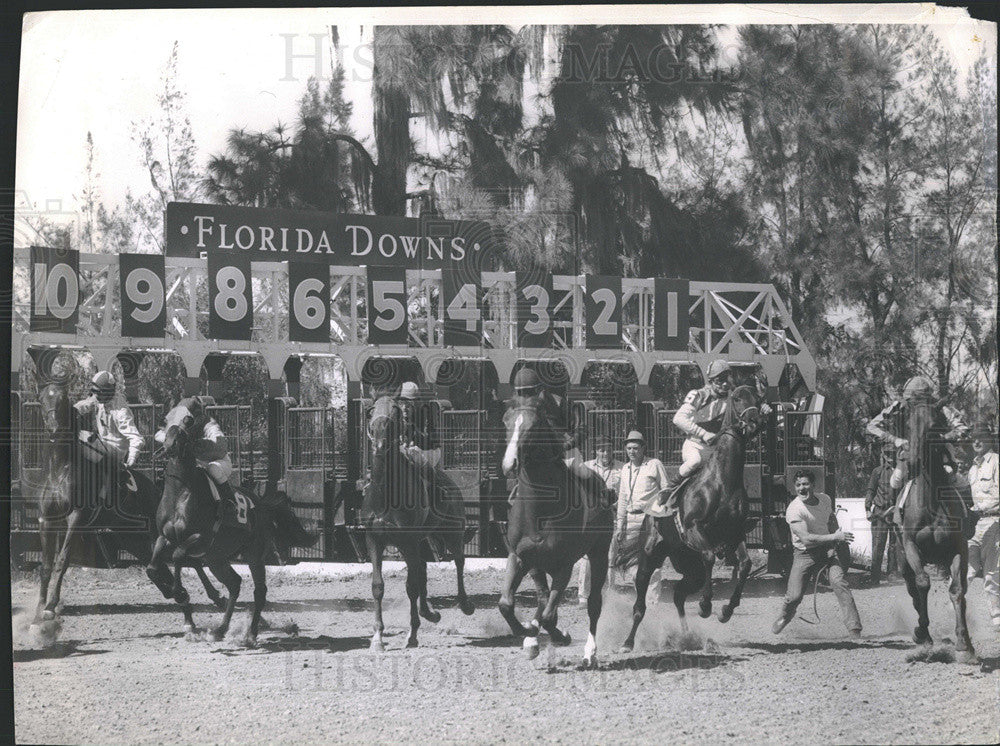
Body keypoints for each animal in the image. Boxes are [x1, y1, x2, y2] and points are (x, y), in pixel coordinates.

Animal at [31, 380, 225, 624]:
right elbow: (46, 566)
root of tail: (158, 491)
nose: (55, 428)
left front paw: (51, 606)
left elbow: (61, 561)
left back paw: (213, 596)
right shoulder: (46, 520)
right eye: (42, 399)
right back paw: (175, 591)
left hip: (159, 532)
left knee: (190, 560)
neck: (61, 469)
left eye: (63, 400)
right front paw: (39, 608)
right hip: (131, 537)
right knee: (157, 564)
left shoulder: (76, 518)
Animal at [150, 398, 316, 644]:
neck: (180, 493)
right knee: (235, 584)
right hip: (216, 559)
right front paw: (174, 592)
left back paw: (250, 634)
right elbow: (152, 567)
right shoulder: (164, 537)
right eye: (165, 420)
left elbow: (179, 555)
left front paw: (178, 591)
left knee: (259, 591)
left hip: (253, 554)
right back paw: (220, 629)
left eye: (188, 421)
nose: (170, 444)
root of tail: (262, 505)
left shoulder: (201, 538)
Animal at [364, 396, 476, 652]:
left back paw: (465, 604)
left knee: (459, 561)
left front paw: (412, 635)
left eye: (395, 413)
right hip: (422, 541)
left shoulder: (407, 541)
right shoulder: (375, 540)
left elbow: (411, 587)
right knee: (423, 568)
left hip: (452, 533)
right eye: (372, 410)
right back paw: (430, 612)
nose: (379, 438)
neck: (386, 495)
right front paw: (377, 638)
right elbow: (378, 586)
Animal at [504, 402, 612, 664]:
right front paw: (528, 633)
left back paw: (589, 653)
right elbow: (507, 604)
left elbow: (548, 615)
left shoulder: (565, 565)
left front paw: (557, 635)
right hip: (538, 565)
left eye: (533, 426)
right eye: (505, 422)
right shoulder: (519, 558)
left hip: (599, 553)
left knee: (593, 603)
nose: (509, 464)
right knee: (543, 599)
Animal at [620, 386, 768, 648]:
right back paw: (628, 642)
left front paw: (726, 611)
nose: (756, 422)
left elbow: (745, 564)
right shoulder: (694, 529)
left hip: (691, 568)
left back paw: (687, 636)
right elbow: (709, 556)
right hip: (649, 558)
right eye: (737, 398)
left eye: (758, 398)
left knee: (679, 595)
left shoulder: (735, 533)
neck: (722, 482)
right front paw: (705, 605)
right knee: (640, 604)